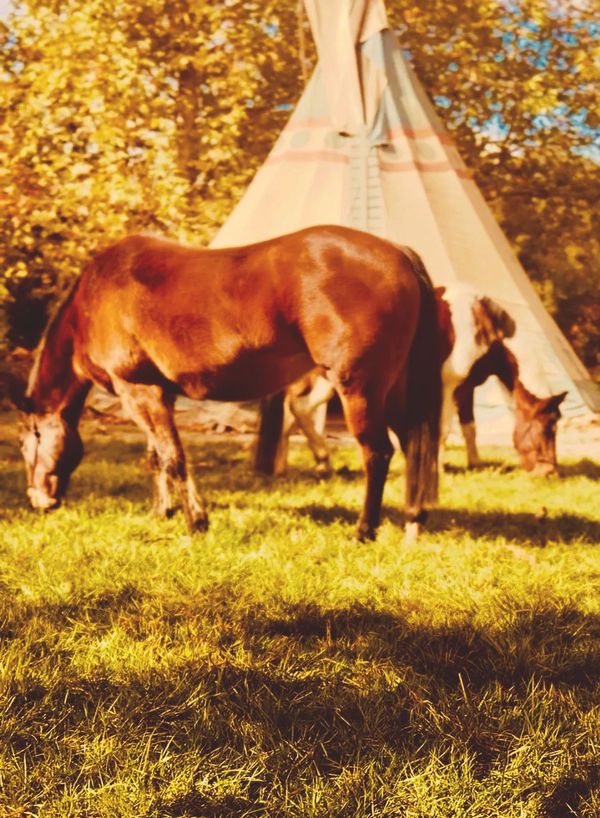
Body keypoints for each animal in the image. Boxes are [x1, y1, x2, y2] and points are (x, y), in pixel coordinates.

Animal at [13, 225, 442, 541]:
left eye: (25, 444)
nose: (37, 500)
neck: (92, 301)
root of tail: (397, 252)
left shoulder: (138, 391)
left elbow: (174, 458)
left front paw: (196, 521)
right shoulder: (157, 394)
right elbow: (156, 457)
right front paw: (161, 511)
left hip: (360, 388)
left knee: (378, 453)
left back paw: (364, 530)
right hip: (394, 390)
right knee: (412, 445)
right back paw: (412, 521)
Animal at [264, 285, 566, 476]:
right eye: (547, 428)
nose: (549, 471)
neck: (481, 325)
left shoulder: (466, 386)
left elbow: (469, 427)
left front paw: (474, 462)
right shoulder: (447, 385)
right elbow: (443, 430)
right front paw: (439, 467)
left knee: (295, 412)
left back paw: (301, 466)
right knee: (297, 409)